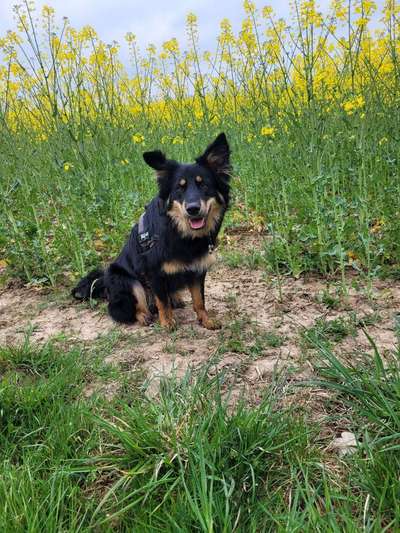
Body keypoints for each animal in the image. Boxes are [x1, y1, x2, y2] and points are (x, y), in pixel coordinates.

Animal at [72, 131, 231, 328]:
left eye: (204, 185)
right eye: (179, 188)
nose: (193, 209)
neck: (180, 232)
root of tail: (104, 285)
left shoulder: (198, 269)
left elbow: (199, 300)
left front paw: (206, 320)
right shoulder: (154, 272)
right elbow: (161, 301)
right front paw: (167, 323)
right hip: (127, 280)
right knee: (134, 305)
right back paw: (144, 316)